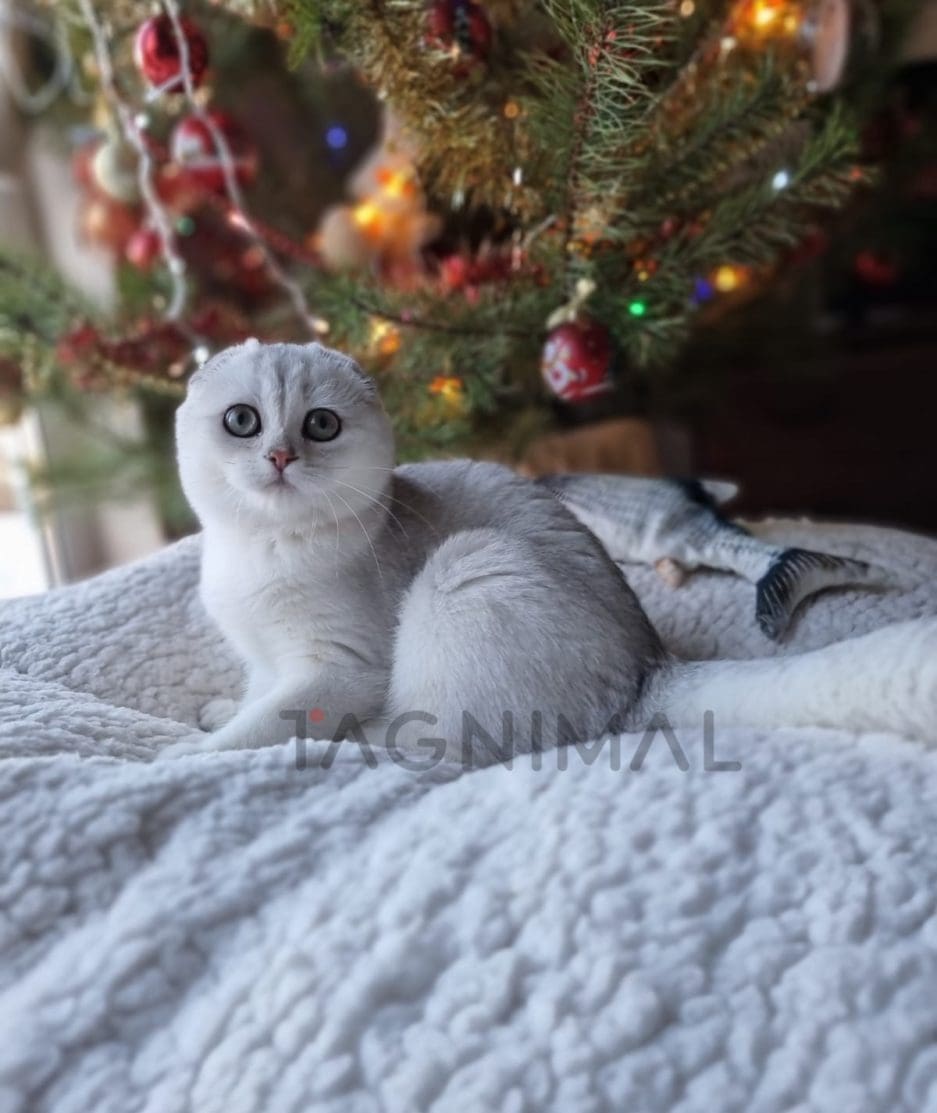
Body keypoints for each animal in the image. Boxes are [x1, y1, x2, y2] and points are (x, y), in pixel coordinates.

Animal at [168, 338, 934, 761]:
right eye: (243, 420)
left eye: (321, 425)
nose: (280, 456)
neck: (258, 551)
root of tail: (651, 667)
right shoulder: (266, 659)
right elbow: (255, 697)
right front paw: (216, 712)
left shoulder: (337, 669)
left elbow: (260, 725)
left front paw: (188, 748)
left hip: (469, 569)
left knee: (431, 744)